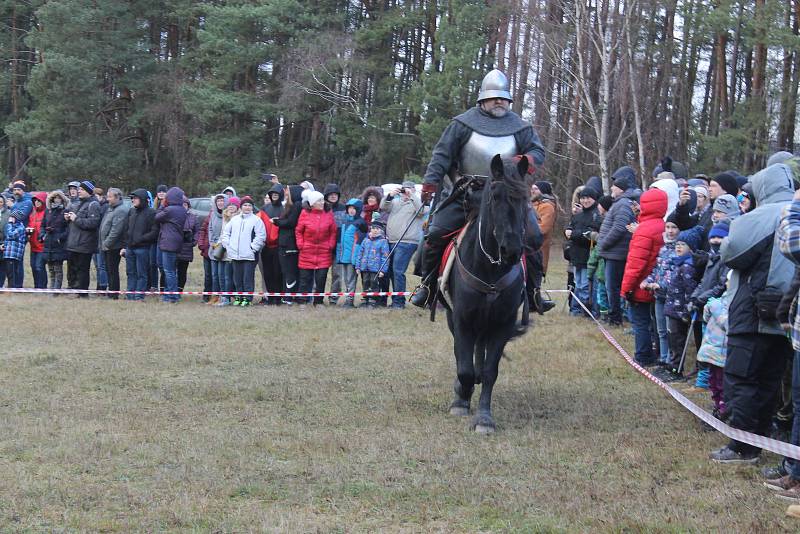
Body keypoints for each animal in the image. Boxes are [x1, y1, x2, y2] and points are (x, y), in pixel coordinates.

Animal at [444, 153, 532, 434]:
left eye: (525, 197)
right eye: (495, 196)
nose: (511, 250)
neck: (489, 267)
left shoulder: (502, 323)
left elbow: (490, 371)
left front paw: (484, 418)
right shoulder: (461, 319)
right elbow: (464, 369)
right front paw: (461, 398)